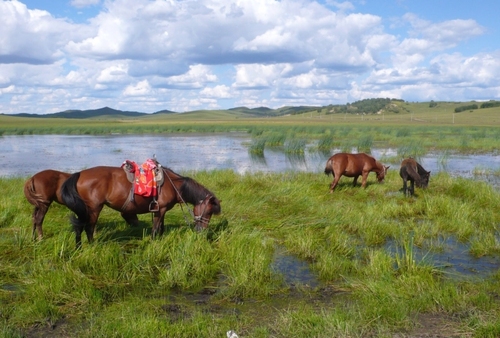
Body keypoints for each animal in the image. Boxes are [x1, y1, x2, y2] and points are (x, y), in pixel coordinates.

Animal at [60, 165, 221, 247]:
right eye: (209, 212)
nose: (202, 231)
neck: (174, 185)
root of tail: (79, 174)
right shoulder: (161, 209)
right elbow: (156, 228)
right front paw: (153, 242)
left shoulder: (161, 210)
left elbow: (161, 227)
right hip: (94, 208)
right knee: (89, 228)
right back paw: (93, 245)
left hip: (83, 209)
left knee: (79, 227)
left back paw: (79, 247)